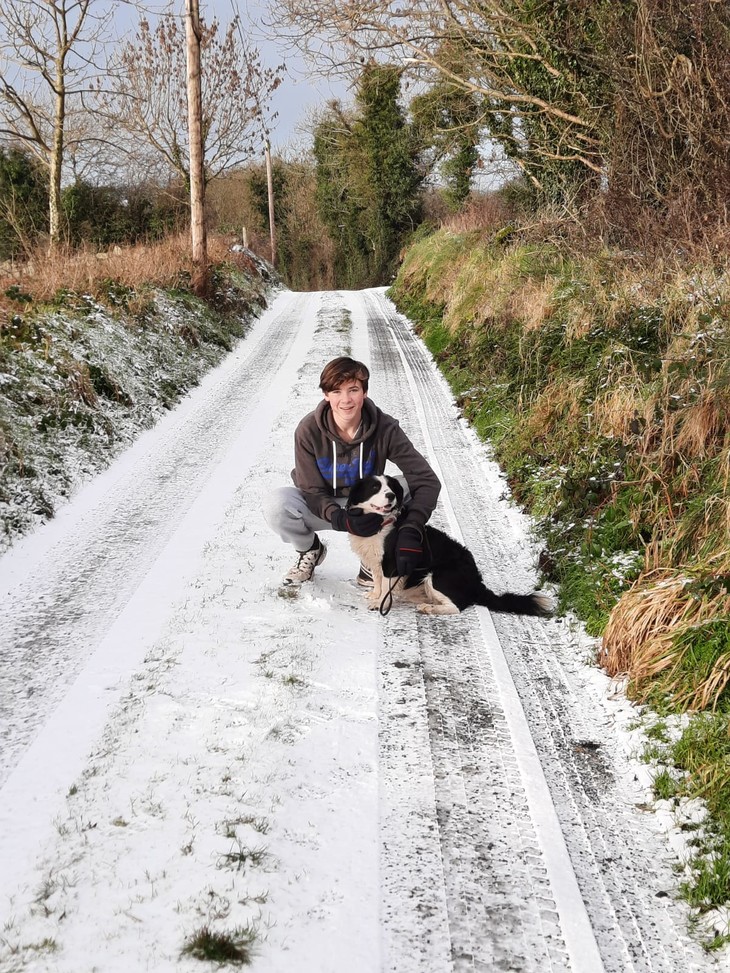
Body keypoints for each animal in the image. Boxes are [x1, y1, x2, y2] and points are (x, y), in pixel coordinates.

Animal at [344, 476, 548, 616]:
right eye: (375, 487)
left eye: (391, 488)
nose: (391, 496)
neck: (380, 522)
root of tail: (477, 583)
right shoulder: (376, 560)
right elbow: (378, 582)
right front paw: (375, 595)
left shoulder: (392, 563)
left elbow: (386, 587)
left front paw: (380, 604)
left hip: (438, 575)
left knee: (457, 607)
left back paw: (429, 607)